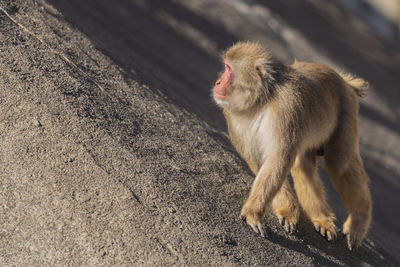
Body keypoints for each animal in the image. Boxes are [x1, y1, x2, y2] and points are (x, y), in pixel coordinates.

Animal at [212, 42, 372, 251]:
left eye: (228, 69)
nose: (217, 82)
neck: (262, 100)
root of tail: (344, 81)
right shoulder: (234, 117)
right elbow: (261, 160)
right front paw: (286, 211)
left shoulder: (286, 109)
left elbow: (278, 159)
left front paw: (253, 214)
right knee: (303, 165)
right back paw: (321, 217)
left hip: (347, 109)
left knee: (340, 163)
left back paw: (358, 223)